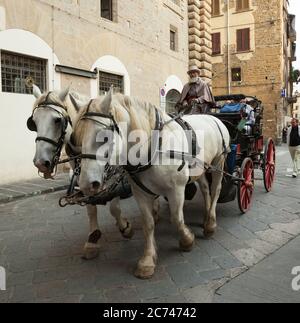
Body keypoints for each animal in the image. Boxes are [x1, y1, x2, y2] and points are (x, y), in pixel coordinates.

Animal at [27, 85, 135, 260]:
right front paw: (93, 239)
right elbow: (90, 206)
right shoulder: (83, 175)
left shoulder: (115, 173)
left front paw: (125, 227)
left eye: (57, 120)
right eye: (33, 122)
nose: (41, 163)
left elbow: (114, 207)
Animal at [74, 90, 230, 280]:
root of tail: (214, 118)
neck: (153, 146)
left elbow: (176, 218)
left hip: (219, 162)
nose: (85, 184)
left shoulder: (176, 190)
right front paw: (147, 260)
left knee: (215, 190)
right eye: (78, 136)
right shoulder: (141, 193)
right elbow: (148, 223)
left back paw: (210, 224)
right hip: (200, 168)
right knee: (206, 190)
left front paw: (187, 240)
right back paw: (206, 216)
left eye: (104, 136)